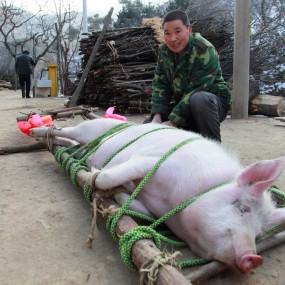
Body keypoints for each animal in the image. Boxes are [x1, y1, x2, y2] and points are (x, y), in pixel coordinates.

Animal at [30, 117, 284, 272]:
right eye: (242, 208)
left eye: (258, 233)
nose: (255, 258)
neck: (173, 203)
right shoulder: (150, 161)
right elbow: (108, 177)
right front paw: (95, 172)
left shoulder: (156, 208)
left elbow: (142, 209)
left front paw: (120, 196)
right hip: (91, 128)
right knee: (66, 130)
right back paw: (37, 131)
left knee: (68, 140)